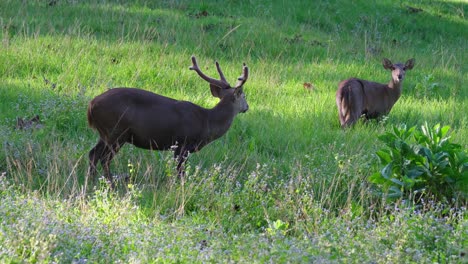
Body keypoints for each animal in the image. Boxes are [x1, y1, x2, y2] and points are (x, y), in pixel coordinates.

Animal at [86, 56, 250, 187]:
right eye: (244, 96)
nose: (247, 107)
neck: (207, 121)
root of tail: (91, 105)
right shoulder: (183, 143)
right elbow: (180, 171)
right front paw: (180, 187)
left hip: (106, 133)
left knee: (93, 153)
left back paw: (92, 181)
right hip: (116, 131)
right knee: (104, 158)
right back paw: (110, 184)